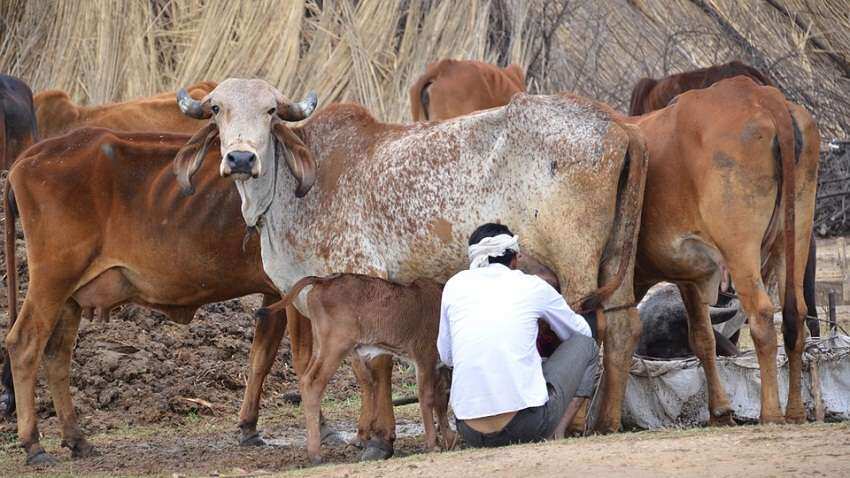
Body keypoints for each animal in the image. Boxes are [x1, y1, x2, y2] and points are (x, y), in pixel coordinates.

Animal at [272, 274, 458, 464]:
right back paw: (315, 454)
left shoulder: (439, 366)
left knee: (304, 379)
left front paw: (450, 439)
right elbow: (427, 398)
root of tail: (324, 280)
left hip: (320, 347)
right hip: (336, 346)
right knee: (313, 384)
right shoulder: (425, 357)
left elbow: (442, 399)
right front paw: (433, 444)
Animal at [608, 77, 820, 430]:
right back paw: (795, 411)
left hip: (740, 246)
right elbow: (703, 338)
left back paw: (771, 413)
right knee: (795, 315)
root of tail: (759, 95)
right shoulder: (690, 275)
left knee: (762, 315)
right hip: (795, 234)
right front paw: (720, 410)